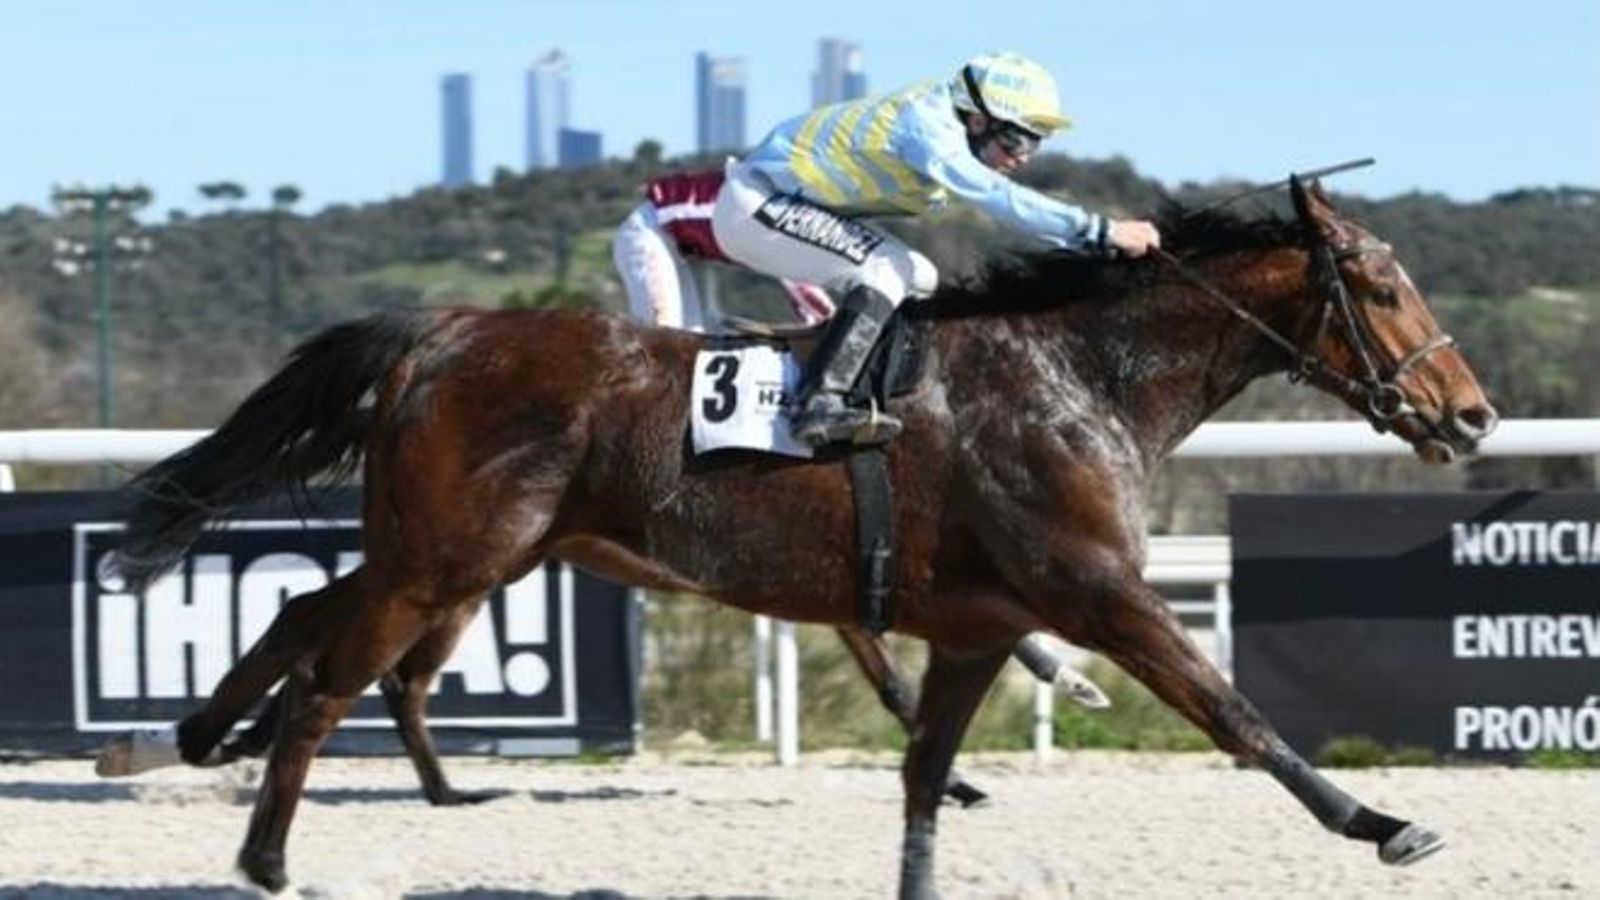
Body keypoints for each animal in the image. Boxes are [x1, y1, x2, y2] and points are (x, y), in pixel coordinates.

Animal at [102, 177, 1496, 897]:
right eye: (1379, 287)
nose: (1471, 414)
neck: (1079, 375)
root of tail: (445, 332)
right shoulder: (1098, 591)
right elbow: (1234, 711)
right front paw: (1383, 823)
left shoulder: (981, 626)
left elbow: (924, 777)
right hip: (452, 556)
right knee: (336, 675)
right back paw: (266, 853)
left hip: (441, 552)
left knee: (303, 617)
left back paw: (187, 737)